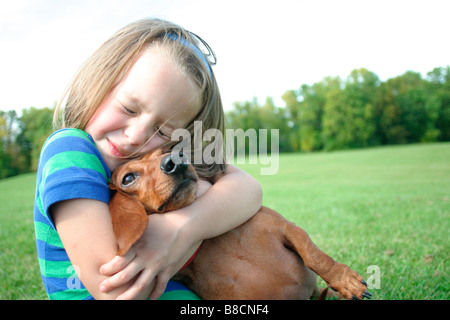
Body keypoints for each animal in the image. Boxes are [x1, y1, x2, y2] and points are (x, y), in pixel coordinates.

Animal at [107, 150, 370, 300]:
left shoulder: (286, 227)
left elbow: (316, 257)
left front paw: (346, 280)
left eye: (164, 149)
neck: (214, 241)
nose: (177, 159)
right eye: (128, 178)